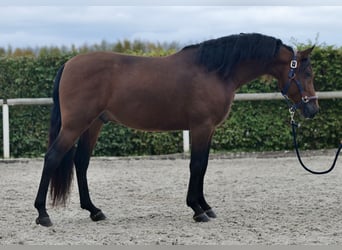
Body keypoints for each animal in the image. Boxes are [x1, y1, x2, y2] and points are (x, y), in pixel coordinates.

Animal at [34, 32, 318, 227]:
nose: (313, 109)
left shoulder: (208, 130)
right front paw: (197, 209)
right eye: (306, 74)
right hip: (75, 125)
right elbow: (197, 165)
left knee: (81, 163)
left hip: (93, 124)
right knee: (52, 158)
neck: (214, 71)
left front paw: (205, 206)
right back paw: (43, 214)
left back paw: (94, 211)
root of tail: (68, 65)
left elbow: (203, 166)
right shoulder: (201, 127)